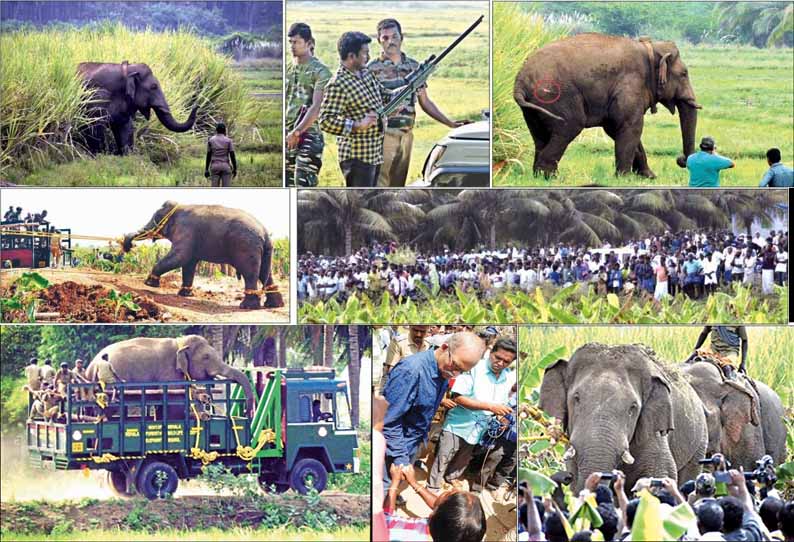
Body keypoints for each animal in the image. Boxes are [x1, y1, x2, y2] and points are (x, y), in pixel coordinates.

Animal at [84, 336, 252, 416]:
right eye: (206, 357)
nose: (245, 411)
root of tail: (91, 366)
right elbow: (174, 401)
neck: (180, 342)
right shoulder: (169, 371)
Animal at [120, 201, 284, 312]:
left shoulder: (186, 231)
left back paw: (247, 306)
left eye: (156, 218)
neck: (179, 207)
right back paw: (274, 305)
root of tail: (265, 232)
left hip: (246, 246)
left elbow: (180, 257)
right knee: (265, 273)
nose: (128, 247)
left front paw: (149, 283)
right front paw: (185, 294)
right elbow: (189, 263)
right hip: (265, 250)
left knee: (249, 273)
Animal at [510, 32, 704, 178]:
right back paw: (550, 177)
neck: (650, 48)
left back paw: (539, 176)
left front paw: (649, 177)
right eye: (684, 74)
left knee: (541, 136)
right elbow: (630, 126)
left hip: (533, 107)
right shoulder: (629, 85)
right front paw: (624, 178)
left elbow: (616, 127)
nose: (681, 159)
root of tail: (519, 82)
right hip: (555, 95)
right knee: (568, 127)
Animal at [540, 344, 704, 492]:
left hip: (699, 443)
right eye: (576, 398)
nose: (566, 477)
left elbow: (663, 474)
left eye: (633, 407)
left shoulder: (654, 432)